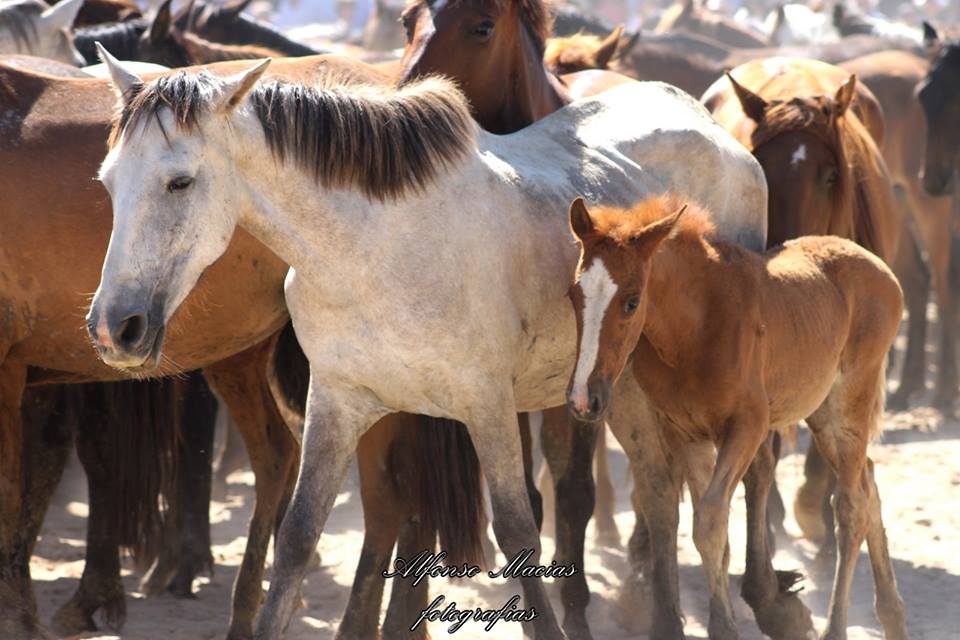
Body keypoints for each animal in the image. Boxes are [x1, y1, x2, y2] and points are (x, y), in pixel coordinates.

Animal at [87, 54, 766, 638]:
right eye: (108, 182)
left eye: (179, 182)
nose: (115, 327)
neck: (375, 251)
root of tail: (719, 131)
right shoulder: (338, 402)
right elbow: (300, 536)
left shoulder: (488, 406)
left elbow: (519, 532)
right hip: (619, 386)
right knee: (661, 493)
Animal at [565, 194, 908, 640]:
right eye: (573, 295)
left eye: (631, 300)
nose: (582, 398)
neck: (695, 329)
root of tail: (883, 271)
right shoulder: (685, 433)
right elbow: (709, 529)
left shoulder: (748, 427)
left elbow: (711, 521)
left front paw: (725, 625)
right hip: (822, 413)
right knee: (869, 483)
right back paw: (893, 615)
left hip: (850, 403)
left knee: (850, 506)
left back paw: (838, 627)